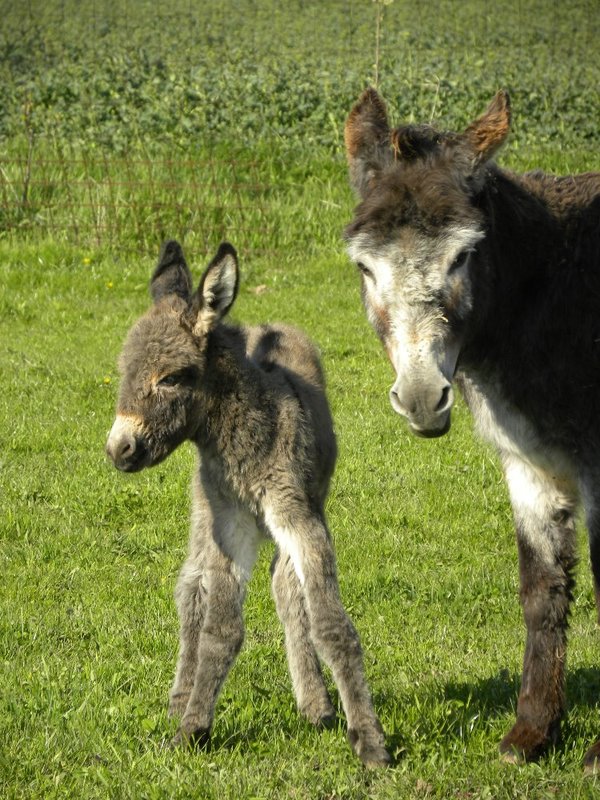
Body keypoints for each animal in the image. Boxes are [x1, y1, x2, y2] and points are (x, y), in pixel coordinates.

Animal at [106, 241, 392, 764]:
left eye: (172, 378)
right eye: (124, 373)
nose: (119, 450)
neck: (244, 444)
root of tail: (265, 325)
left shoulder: (300, 519)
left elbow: (330, 624)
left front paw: (369, 739)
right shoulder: (229, 525)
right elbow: (219, 630)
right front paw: (192, 728)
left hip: (305, 507)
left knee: (285, 585)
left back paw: (315, 703)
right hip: (205, 512)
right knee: (191, 590)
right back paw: (181, 700)